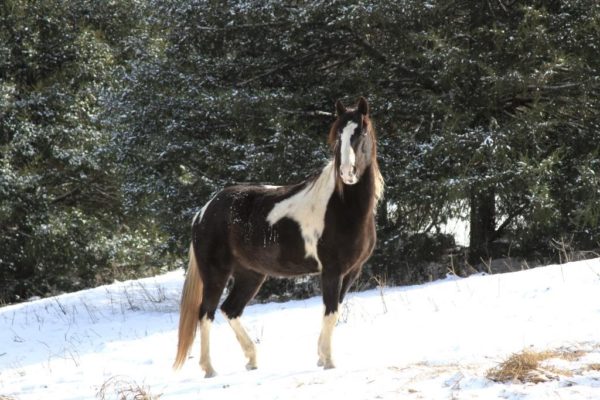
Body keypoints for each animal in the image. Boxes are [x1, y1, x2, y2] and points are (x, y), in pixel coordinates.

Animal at [172, 97, 384, 378]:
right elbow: (330, 311)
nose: (347, 173)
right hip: (216, 274)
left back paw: (252, 360)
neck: (341, 206)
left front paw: (320, 356)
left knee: (230, 310)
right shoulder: (331, 271)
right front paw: (328, 361)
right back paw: (209, 368)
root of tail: (204, 211)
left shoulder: (351, 272)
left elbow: (334, 311)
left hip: (250, 275)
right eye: (338, 135)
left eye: (361, 132)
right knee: (206, 313)